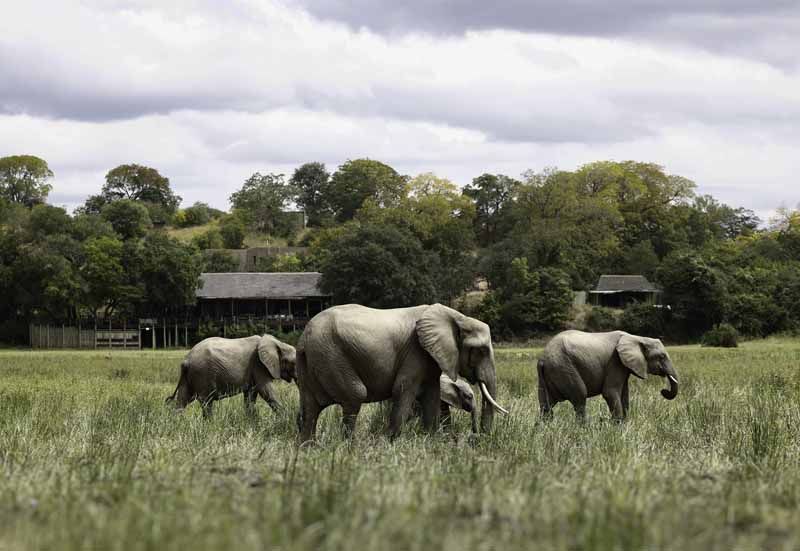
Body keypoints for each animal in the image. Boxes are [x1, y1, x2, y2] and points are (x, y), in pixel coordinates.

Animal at [165, 334, 296, 418]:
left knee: (183, 399)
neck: (279, 343)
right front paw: (286, 419)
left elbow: (251, 395)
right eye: (294, 363)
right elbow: (266, 391)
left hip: (190, 375)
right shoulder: (259, 365)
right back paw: (210, 425)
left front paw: (251, 422)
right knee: (206, 401)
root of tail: (186, 360)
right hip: (201, 373)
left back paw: (177, 423)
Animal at [295, 303, 508, 442]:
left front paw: (431, 441)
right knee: (355, 395)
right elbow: (403, 389)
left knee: (310, 407)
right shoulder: (415, 351)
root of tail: (304, 336)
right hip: (331, 355)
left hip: (313, 360)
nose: (477, 438)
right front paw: (391, 442)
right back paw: (349, 447)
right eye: (481, 351)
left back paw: (308, 447)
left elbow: (432, 395)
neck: (457, 317)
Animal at [537, 330, 678, 421]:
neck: (637, 338)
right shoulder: (615, 361)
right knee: (580, 398)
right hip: (564, 367)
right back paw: (583, 430)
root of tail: (542, 358)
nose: (663, 391)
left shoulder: (623, 365)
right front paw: (618, 427)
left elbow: (624, 394)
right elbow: (610, 392)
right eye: (662, 356)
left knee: (546, 405)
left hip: (551, 372)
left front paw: (626, 424)